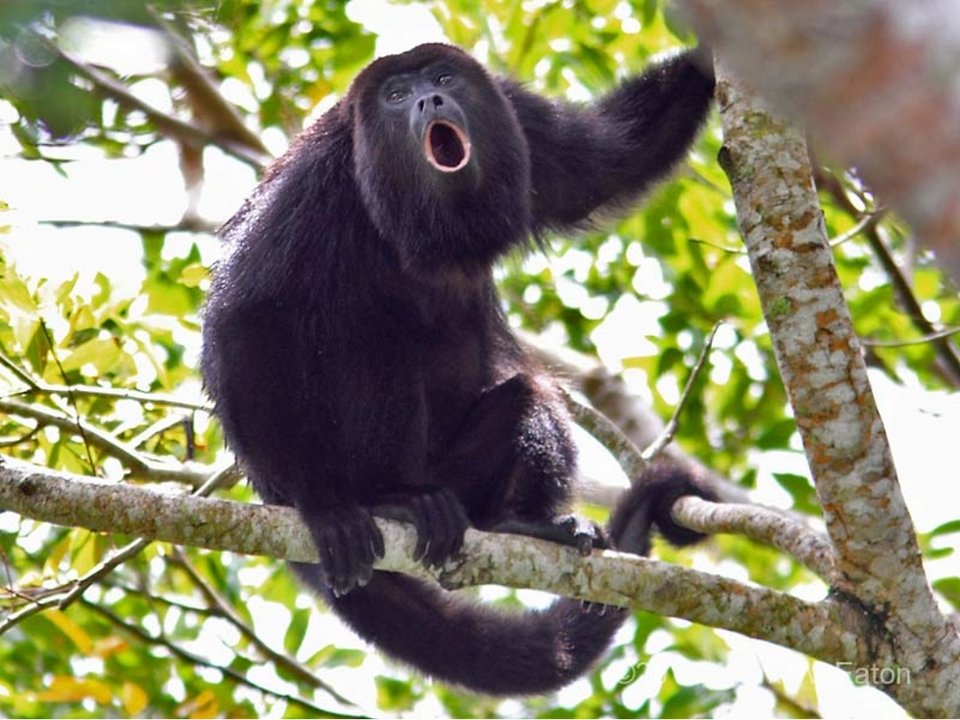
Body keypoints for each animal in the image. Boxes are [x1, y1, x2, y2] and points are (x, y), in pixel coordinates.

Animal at [201, 43, 716, 696]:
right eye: (396, 96)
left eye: (443, 78)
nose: (430, 100)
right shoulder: (312, 185)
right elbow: (245, 316)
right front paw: (318, 505)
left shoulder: (516, 114)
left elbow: (606, 161)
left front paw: (718, 59)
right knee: (376, 342)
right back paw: (388, 498)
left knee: (530, 397)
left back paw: (520, 524)